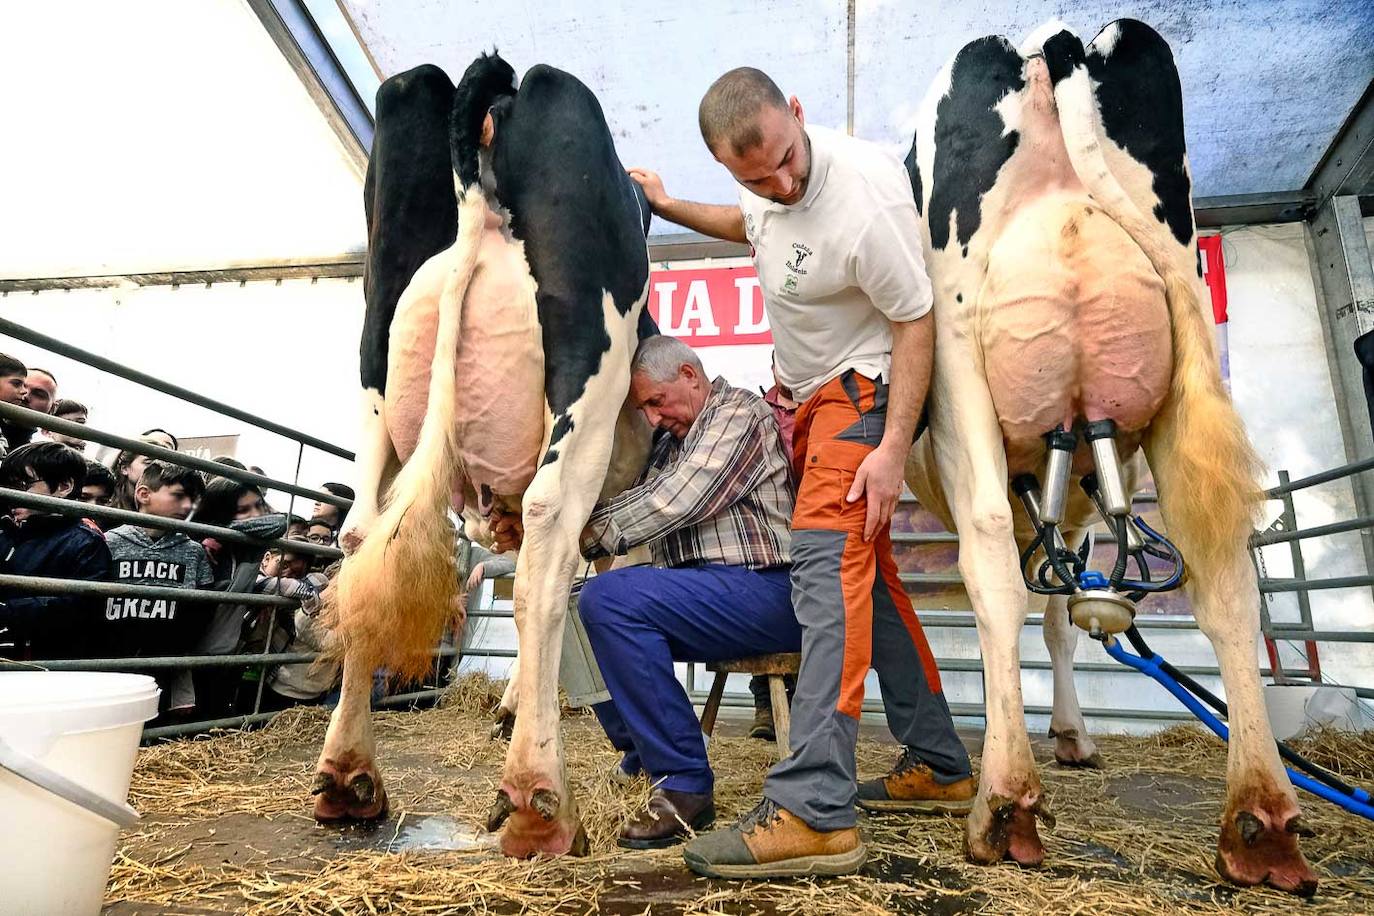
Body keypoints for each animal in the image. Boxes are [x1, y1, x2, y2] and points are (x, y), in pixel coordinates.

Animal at [314, 55, 656, 862]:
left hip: (376, 373)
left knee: (360, 539)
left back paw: (348, 774)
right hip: (587, 382)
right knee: (544, 551)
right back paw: (539, 800)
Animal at [901, 19, 1319, 895]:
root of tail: (1053, 41)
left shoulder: (1065, 509)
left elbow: (1058, 617)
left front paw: (1068, 734)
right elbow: (1060, 611)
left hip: (980, 362)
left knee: (1010, 560)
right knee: (1211, 571)